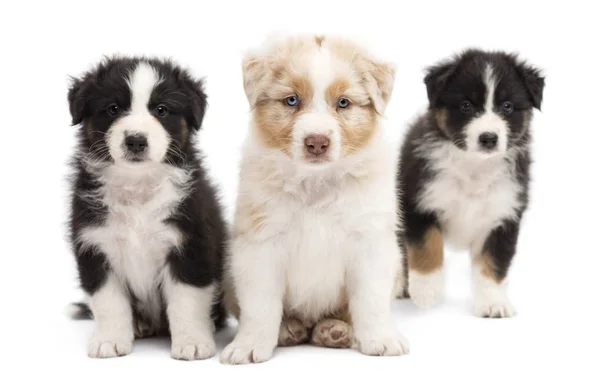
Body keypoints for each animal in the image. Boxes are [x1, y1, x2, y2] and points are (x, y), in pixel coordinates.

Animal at [64, 55, 226, 358]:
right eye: (113, 108)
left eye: (161, 110)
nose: (136, 140)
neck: (137, 187)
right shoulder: (95, 244)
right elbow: (108, 302)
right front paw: (110, 340)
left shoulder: (190, 244)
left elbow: (187, 300)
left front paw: (193, 342)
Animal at [223, 35, 410, 364]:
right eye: (292, 100)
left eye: (343, 103)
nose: (317, 142)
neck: (315, 183)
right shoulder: (260, 244)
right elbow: (260, 306)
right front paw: (249, 345)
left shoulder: (370, 242)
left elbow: (371, 300)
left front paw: (381, 339)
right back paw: (290, 330)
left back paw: (334, 331)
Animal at [398, 48, 544, 316]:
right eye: (466, 106)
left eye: (507, 106)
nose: (488, 138)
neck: (475, 167)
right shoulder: (419, 201)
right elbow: (426, 246)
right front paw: (426, 291)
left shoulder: (503, 215)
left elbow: (494, 262)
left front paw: (493, 302)